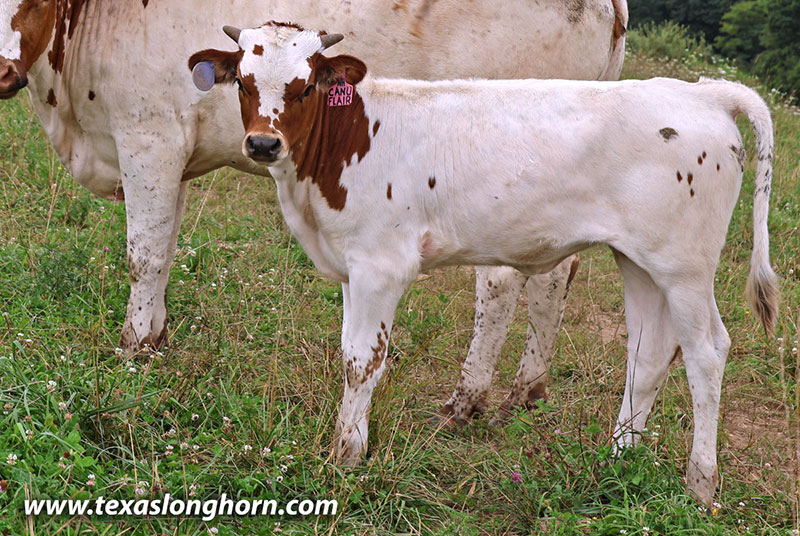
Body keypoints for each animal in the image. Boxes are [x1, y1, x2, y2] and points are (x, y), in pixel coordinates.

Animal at [0, 0, 627, 421]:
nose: (2, 70)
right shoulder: (173, 158)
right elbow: (167, 249)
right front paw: (154, 337)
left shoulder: (149, 138)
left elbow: (144, 255)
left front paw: (133, 350)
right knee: (555, 274)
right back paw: (527, 389)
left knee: (498, 281)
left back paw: (466, 399)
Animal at [190, 22, 777, 506]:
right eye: (243, 83)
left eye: (306, 85)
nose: (263, 143)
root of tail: (703, 91)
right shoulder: (351, 267)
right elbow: (350, 354)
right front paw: (344, 446)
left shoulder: (382, 266)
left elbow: (363, 361)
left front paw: (347, 457)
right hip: (641, 261)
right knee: (650, 352)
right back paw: (617, 460)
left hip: (686, 268)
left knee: (707, 353)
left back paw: (700, 485)